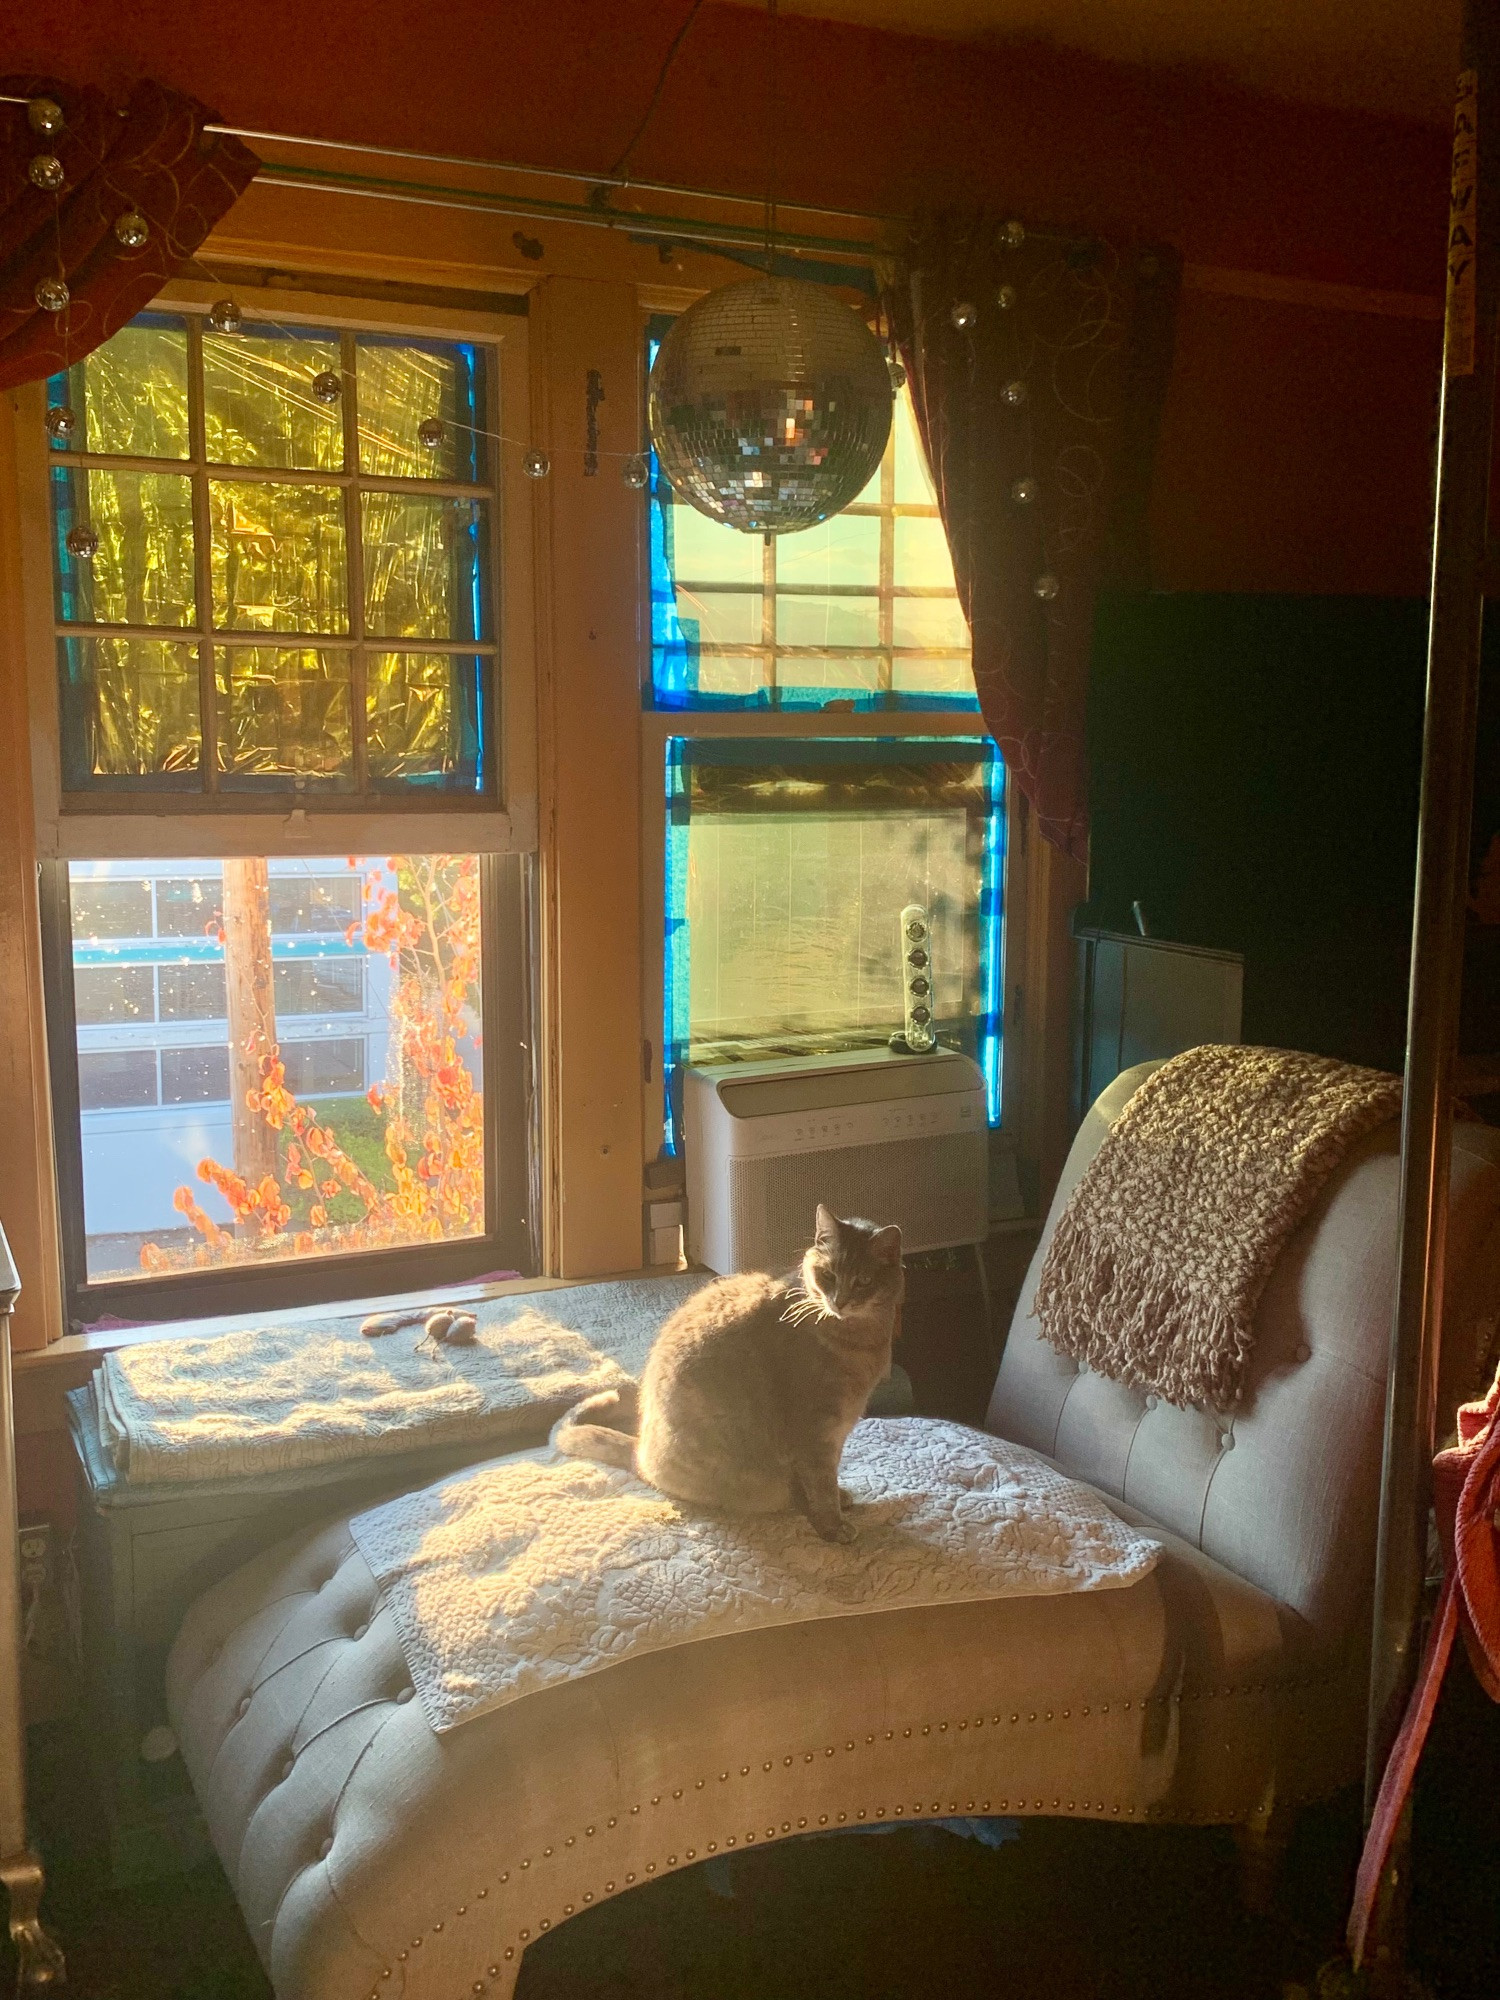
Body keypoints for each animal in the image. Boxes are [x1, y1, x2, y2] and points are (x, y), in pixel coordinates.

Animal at [552, 1200, 904, 1544]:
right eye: (829, 1274)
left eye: (864, 1281)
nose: (839, 1302)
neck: (860, 1339)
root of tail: (640, 1452)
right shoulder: (816, 1435)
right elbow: (822, 1487)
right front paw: (834, 1527)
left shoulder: (834, 1434)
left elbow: (825, 1482)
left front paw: (837, 1503)